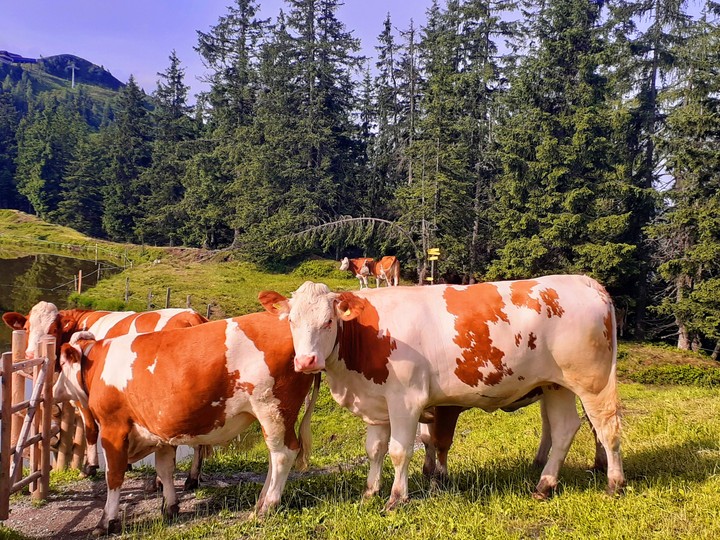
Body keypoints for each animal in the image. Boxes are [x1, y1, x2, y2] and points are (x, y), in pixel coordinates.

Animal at [2, 302, 209, 486]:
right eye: (27, 328)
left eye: (53, 329)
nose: (30, 356)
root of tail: (192, 316)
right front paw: (126, 465)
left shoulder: (83, 396)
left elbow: (91, 429)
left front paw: (89, 468)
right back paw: (192, 479)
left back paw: (161, 481)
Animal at [53, 312, 318, 536]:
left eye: (63, 365)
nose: (54, 391)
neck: (98, 363)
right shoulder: (159, 429)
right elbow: (165, 469)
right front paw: (170, 508)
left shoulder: (113, 428)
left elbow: (114, 476)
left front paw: (106, 521)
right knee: (275, 456)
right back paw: (262, 500)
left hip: (273, 410)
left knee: (283, 454)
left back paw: (266, 507)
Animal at [260, 275, 625, 511]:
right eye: (290, 321)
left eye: (328, 322)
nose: (306, 361)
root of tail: (584, 281)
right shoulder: (375, 402)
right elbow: (375, 449)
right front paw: (369, 492)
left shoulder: (406, 399)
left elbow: (400, 450)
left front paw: (396, 498)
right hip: (556, 384)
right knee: (564, 428)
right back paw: (544, 485)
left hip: (592, 381)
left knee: (606, 426)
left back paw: (614, 483)